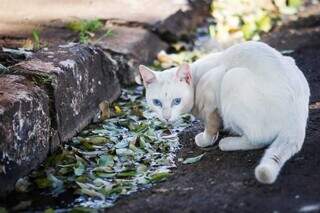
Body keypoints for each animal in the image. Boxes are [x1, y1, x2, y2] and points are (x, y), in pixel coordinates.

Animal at [139, 40, 308, 184]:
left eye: (177, 101)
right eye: (157, 102)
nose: (166, 117)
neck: (196, 80)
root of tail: (298, 115)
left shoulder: (213, 85)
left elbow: (210, 124)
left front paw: (207, 138)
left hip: (232, 77)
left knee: (259, 139)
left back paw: (228, 142)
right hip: (288, 61)